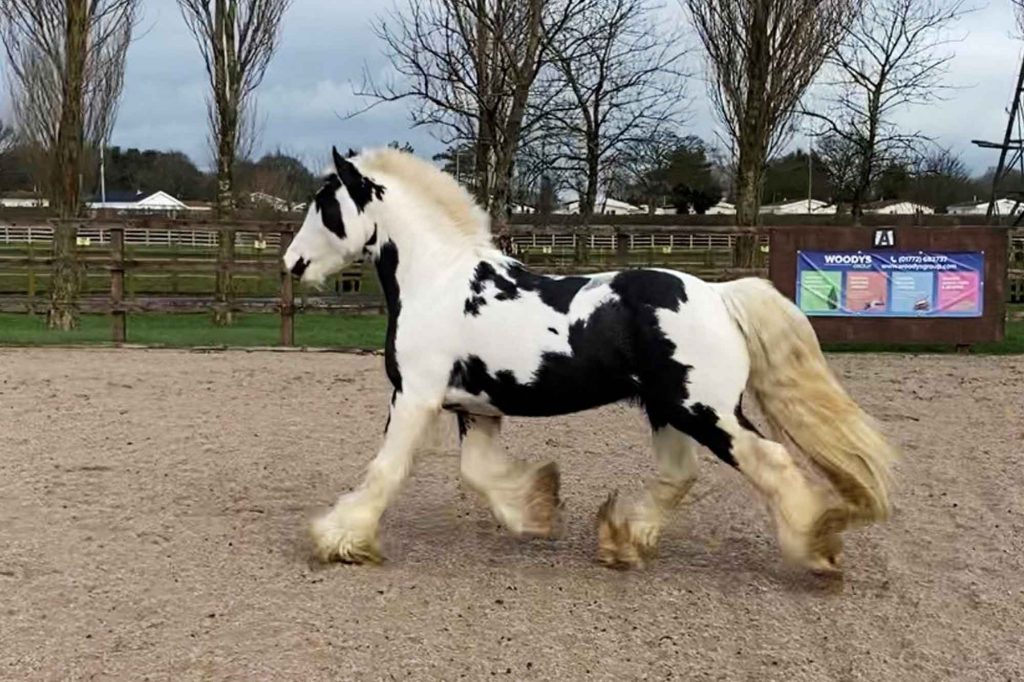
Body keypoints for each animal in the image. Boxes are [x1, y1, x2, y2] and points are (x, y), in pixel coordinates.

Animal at [282, 146, 897, 569]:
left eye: (326, 205)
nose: (292, 263)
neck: (439, 280)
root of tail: (720, 296)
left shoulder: (416, 396)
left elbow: (386, 469)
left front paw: (339, 538)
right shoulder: (475, 408)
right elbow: (478, 474)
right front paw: (537, 510)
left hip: (705, 411)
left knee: (771, 461)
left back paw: (815, 545)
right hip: (666, 410)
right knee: (679, 474)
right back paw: (623, 539)